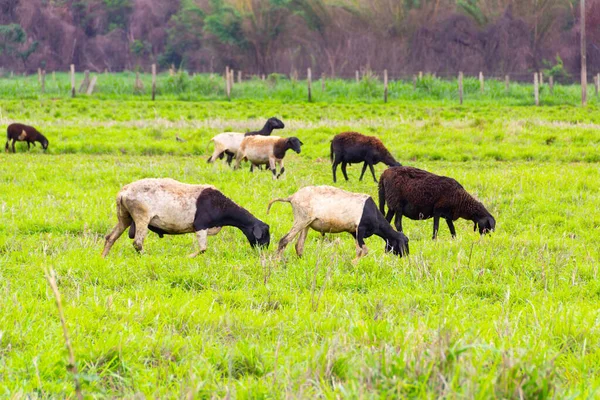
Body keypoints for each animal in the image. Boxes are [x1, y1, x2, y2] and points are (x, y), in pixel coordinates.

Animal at [102, 177, 270, 258]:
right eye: (264, 235)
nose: (263, 251)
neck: (221, 205)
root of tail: (123, 192)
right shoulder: (201, 226)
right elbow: (203, 249)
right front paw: (188, 257)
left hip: (124, 216)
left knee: (110, 237)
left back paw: (103, 257)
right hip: (141, 216)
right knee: (137, 242)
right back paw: (146, 256)